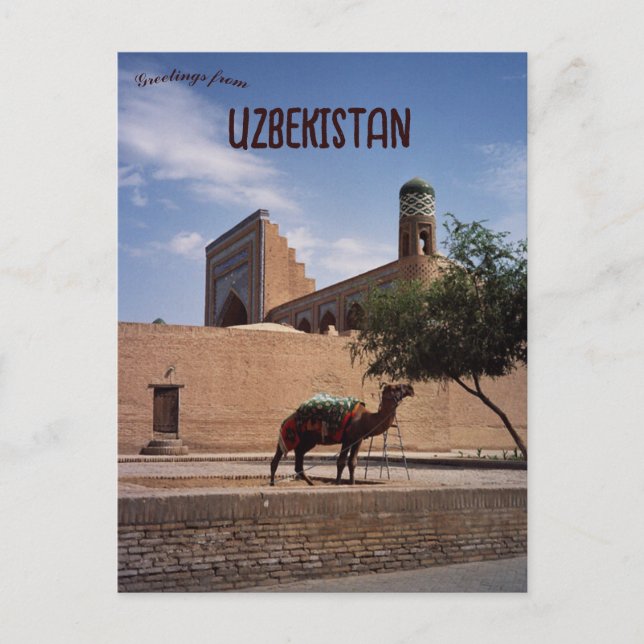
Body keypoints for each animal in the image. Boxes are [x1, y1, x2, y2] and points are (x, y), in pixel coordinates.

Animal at [270, 383, 414, 486]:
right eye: (396, 387)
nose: (410, 388)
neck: (365, 420)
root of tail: (287, 419)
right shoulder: (347, 439)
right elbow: (341, 462)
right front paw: (338, 483)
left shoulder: (358, 440)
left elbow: (352, 462)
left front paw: (352, 483)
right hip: (289, 435)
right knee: (277, 458)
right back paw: (272, 484)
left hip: (308, 441)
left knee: (298, 460)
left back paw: (311, 483)